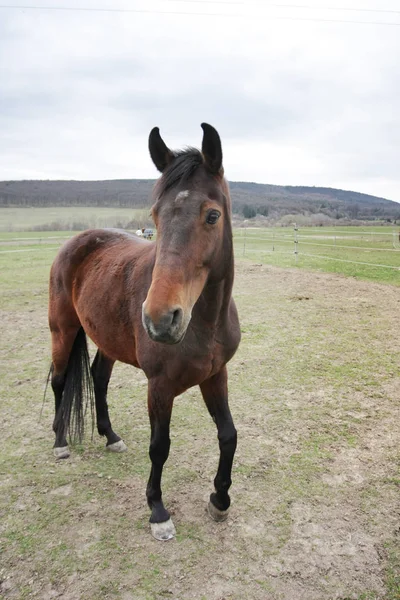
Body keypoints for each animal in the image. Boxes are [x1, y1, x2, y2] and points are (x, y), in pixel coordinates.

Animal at [47, 122, 241, 540]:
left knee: (98, 379)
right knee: (59, 381)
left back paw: (110, 436)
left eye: (212, 215)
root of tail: (77, 241)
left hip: (105, 340)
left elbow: (228, 434)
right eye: (156, 215)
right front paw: (157, 510)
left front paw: (219, 501)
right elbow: (160, 446)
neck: (205, 323)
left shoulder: (216, 374)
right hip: (62, 330)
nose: (159, 319)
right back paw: (59, 441)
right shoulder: (160, 387)